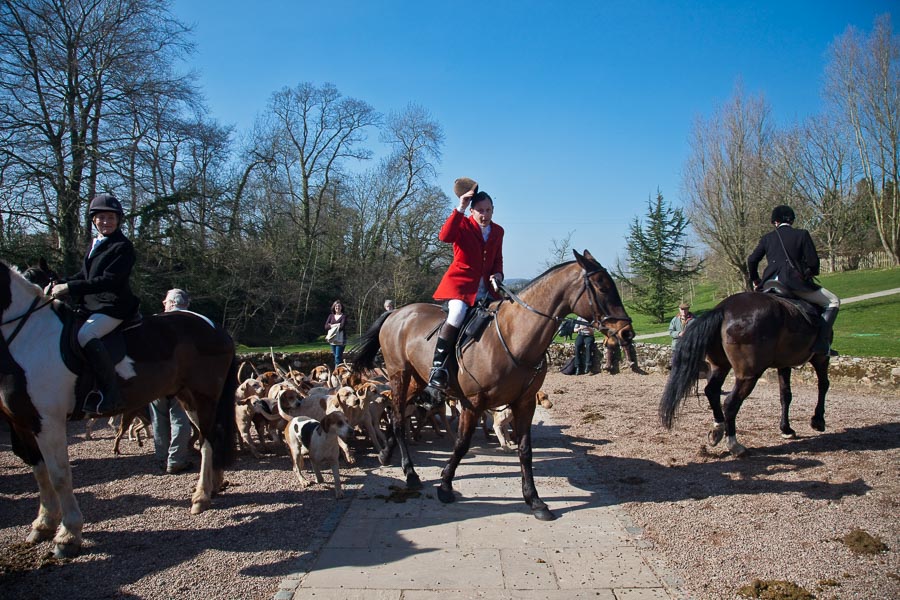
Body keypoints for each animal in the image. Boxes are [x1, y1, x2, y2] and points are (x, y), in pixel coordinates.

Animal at [0, 262, 237, 556]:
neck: (30, 338)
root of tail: (217, 329)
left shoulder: (48, 421)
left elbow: (59, 476)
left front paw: (68, 535)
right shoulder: (24, 422)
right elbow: (40, 473)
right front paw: (43, 524)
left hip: (203, 398)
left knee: (207, 442)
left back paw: (201, 496)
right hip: (188, 398)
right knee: (210, 439)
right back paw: (213, 486)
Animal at [352, 248, 632, 520]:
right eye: (602, 287)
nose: (627, 332)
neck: (514, 337)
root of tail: (396, 312)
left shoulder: (525, 403)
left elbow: (525, 449)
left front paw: (534, 500)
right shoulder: (473, 403)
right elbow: (462, 444)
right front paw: (445, 486)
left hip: (417, 381)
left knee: (396, 414)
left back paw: (386, 454)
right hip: (399, 375)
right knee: (399, 418)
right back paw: (410, 473)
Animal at [656, 290, 832, 454]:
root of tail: (723, 308)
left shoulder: (784, 364)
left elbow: (785, 395)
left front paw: (786, 429)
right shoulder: (821, 357)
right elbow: (823, 385)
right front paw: (818, 421)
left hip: (721, 366)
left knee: (712, 391)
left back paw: (718, 429)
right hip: (749, 374)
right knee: (730, 403)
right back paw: (734, 444)